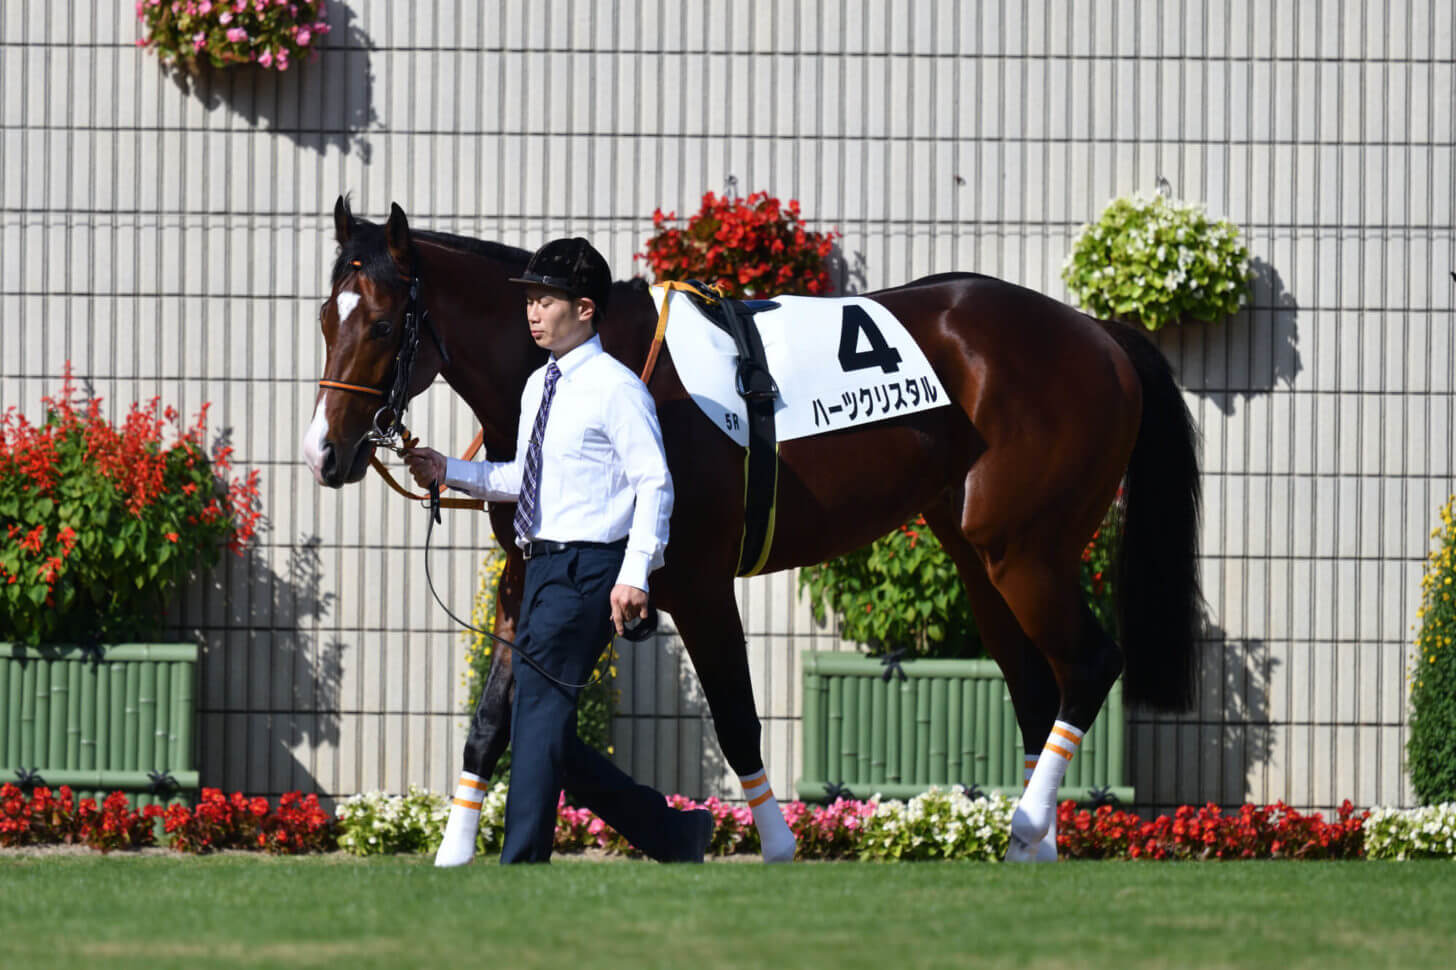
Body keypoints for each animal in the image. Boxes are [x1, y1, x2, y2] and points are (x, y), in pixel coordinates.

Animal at [301, 198, 1199, 862]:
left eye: (381, 325)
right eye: (323, 318)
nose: (324, 453)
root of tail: (1099, 335)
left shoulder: (696, 583)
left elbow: (735, 715)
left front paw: (776, 849)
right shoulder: (531, 578)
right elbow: (494, 719)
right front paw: (454, 856)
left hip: (1025, 551)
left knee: (1090, 664)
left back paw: (1026, 827)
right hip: (983, 560)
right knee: (1038, 686)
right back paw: (1035, 848)